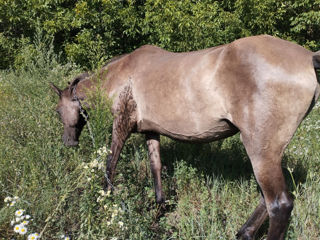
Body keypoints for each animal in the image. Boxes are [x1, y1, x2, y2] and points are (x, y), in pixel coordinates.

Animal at [50, 34, 320, 239]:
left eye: (58, 111)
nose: (68, 142)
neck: (122, 74)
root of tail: (308, 57)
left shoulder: (121, 125)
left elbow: (110, 164)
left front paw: (103, 203)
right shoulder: (151, 131)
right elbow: (156, 167)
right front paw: (158, 208)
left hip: (260, 148)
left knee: (279, 204)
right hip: (269, 150)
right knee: (268, 198)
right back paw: (244, 232)